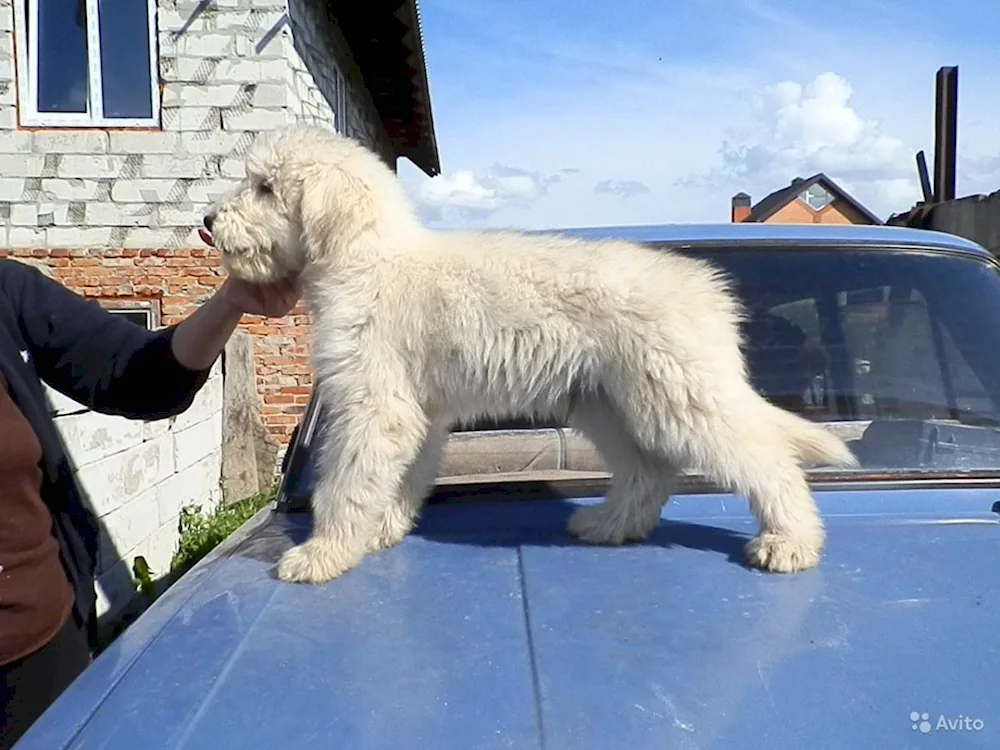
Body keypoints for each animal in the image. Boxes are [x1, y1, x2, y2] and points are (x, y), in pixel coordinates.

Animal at [203, 125, 860, 588]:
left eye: (265, 187)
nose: (207, 220)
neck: (366, 257)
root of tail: (709, 295)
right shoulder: (420, 411)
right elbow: (400, 477)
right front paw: (381, 531)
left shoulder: (374, 403)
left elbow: (344, 483)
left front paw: (322, 554)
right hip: (607, 402)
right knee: (650, 473)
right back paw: (607, 526)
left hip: (679, 397)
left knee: (768, 458)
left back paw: (791, 543)